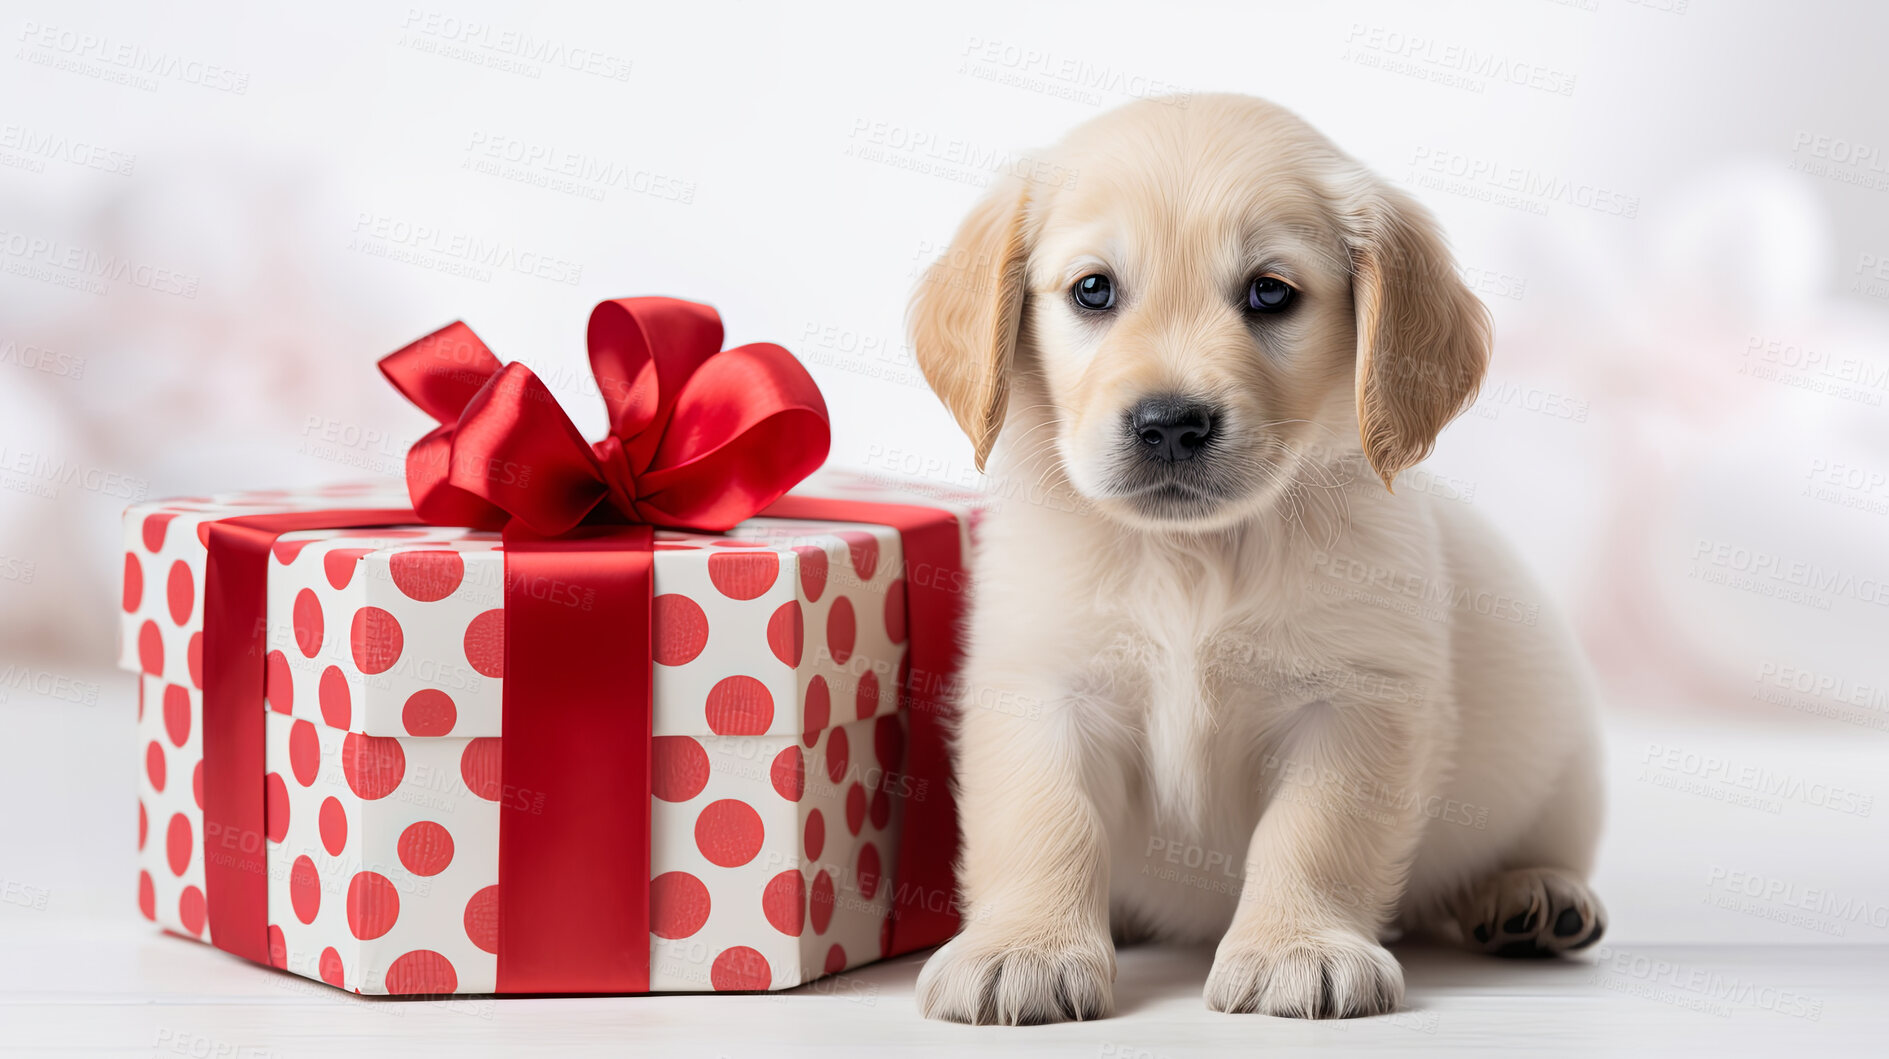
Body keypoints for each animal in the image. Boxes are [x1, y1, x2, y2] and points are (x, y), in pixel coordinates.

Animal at [906, 97, 1601, 1026]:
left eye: (1270, 292)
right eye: (1093, 289)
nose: (1169, 423)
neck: (1194, 556)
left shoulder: (1354, 697)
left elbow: (1312, 831)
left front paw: (1294, 948)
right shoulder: (1040, 684)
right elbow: (1043, 818)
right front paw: (1023, 947)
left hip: (1564, 776)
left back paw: (1533, 894)